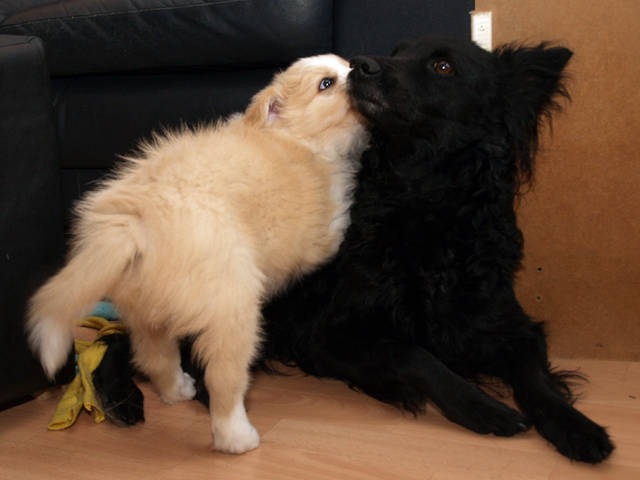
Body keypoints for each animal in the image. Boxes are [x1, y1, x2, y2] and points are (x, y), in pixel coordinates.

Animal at [26, 54, 368, 454]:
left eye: (345, 65)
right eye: (326, 84)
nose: (359, 69)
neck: (293, 138)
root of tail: (133, 224)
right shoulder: (318, 236)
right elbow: (337, 231)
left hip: (144, 310)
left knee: (153, 354)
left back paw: (177, 390)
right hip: (232, 308)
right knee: (223, 379)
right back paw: (237, 437)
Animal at [260, 37, 614, 463]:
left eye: (443, 67)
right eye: (397, 52)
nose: (359, 65)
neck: (426, 203)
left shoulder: (512, 325)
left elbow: (536, 378)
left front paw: (575, 426)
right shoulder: (329, 332)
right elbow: (413, 353)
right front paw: (481, 406)